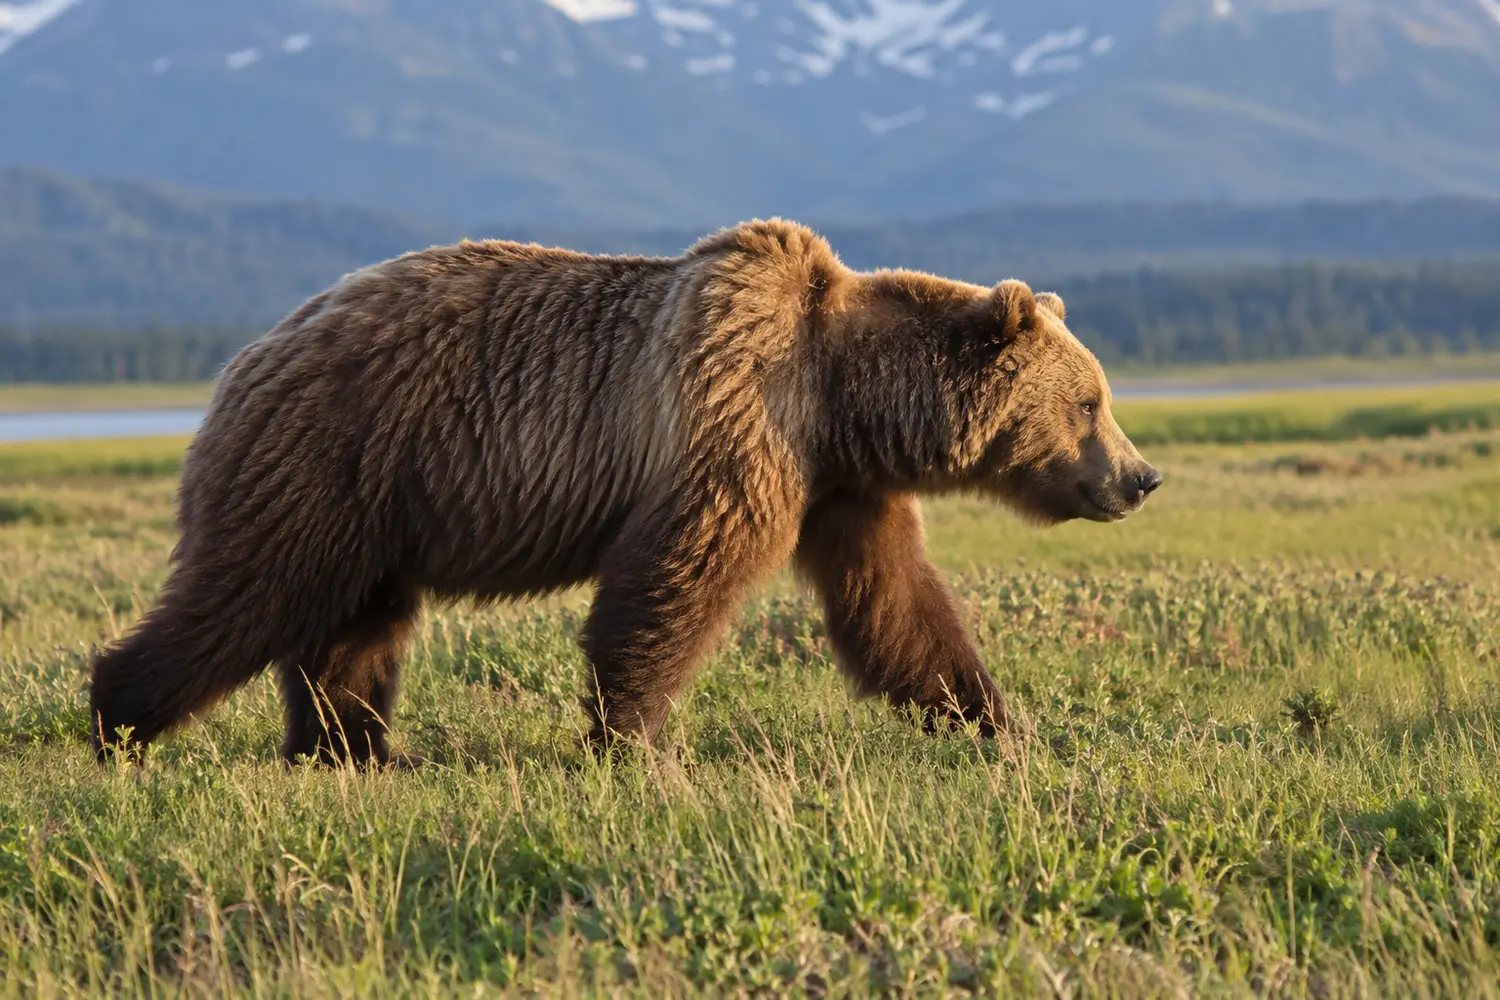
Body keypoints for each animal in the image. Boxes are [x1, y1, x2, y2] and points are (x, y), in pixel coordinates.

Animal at [88, 218, 1161, 767]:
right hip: (327, 459)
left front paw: (999, 724)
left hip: (382, 501)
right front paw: (633, 741)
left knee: (357, 626)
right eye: (1093, 400)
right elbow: (674, 580)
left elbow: (896, 608)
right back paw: (119, 719)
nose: (1141, 477)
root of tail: (244, 358)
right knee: (248, 595)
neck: (841, 397)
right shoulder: (733, 417)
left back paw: (352, 750)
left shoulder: (840, 487)